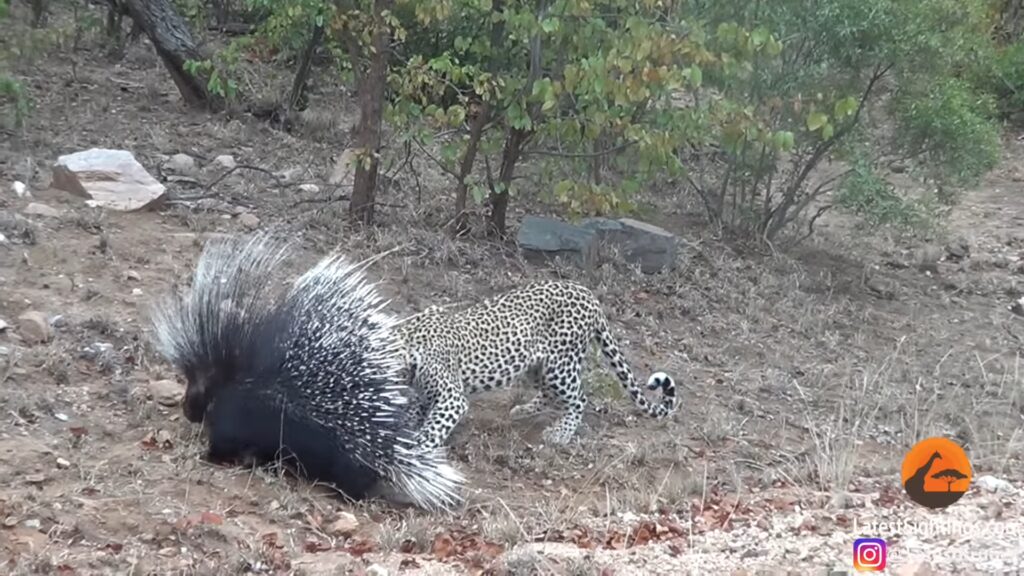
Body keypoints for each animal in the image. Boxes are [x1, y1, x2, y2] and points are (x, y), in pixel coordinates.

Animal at [396, 279, 678, 450]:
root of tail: (589, 295)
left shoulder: (451, 398)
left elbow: (433, 428)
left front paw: (416, 446)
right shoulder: (427, 394)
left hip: (560, 365)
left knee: (579, 398)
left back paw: (560, 434)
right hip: (537, 366)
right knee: (549, 394)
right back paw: (522, 410)